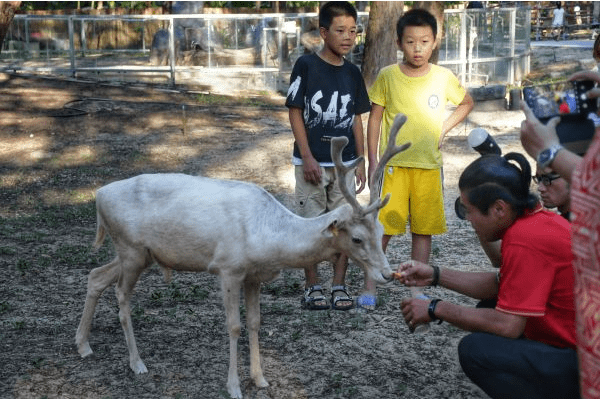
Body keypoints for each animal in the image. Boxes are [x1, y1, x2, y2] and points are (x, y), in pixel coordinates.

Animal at [75, 113, 410, 399]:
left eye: (381, 230)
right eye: (356, 238)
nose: (387, 273)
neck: (269, 239)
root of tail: (99, 197)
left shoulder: (254, 276)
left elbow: (255, 322)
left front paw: (260, 379)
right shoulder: (228, 268)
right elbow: (234, 326)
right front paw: (234, 386)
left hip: (138, 254)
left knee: (95, 276)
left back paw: (83, 345)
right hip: (130, 249)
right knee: (121, 294)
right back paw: (137, 362)